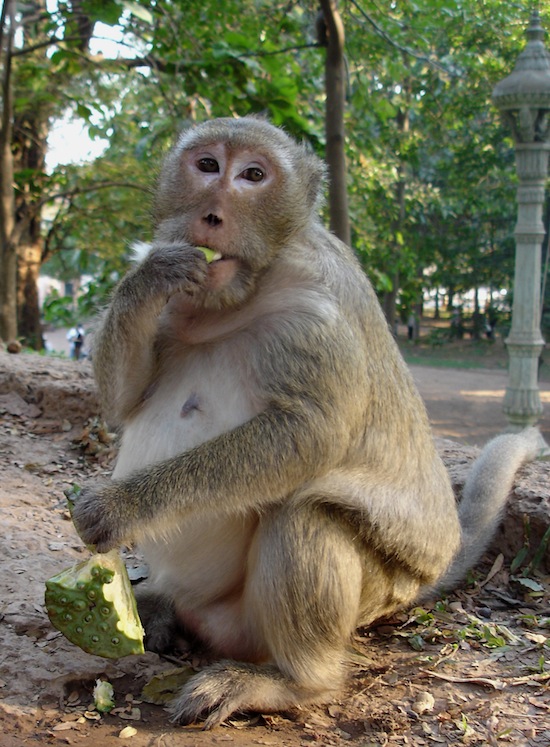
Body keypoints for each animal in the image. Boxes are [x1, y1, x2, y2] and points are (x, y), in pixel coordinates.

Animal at [69, 118, 544, 732]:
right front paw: (151, 275)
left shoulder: (315, 319)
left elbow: (307, 435)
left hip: (359, 597)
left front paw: (121, 505)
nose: (212, 213)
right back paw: (158, 607)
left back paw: (293, 683)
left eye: (253, 175)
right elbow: (123, 401)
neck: (243, 288)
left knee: (305, 515)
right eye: (206, 165)